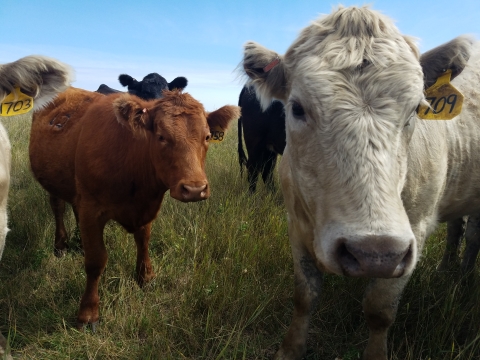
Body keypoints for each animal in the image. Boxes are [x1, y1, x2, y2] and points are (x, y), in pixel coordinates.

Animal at [30, 87, 240, 330]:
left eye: (207, 137)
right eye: (161, 137)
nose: (195, 189)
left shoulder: (145, 207)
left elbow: (144, 242)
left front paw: (145, 277)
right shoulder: (91, 209)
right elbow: (95, 260)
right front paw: (88, 313)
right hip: (53, 182)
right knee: (58, 207)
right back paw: (61, 245)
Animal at [246, 5, 478, 360]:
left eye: (417, 109)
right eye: (296, 108)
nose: (374, 254)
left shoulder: (413, 233)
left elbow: (379, 309)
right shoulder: (296, 223)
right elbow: (304, 295)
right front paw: (290, 349)